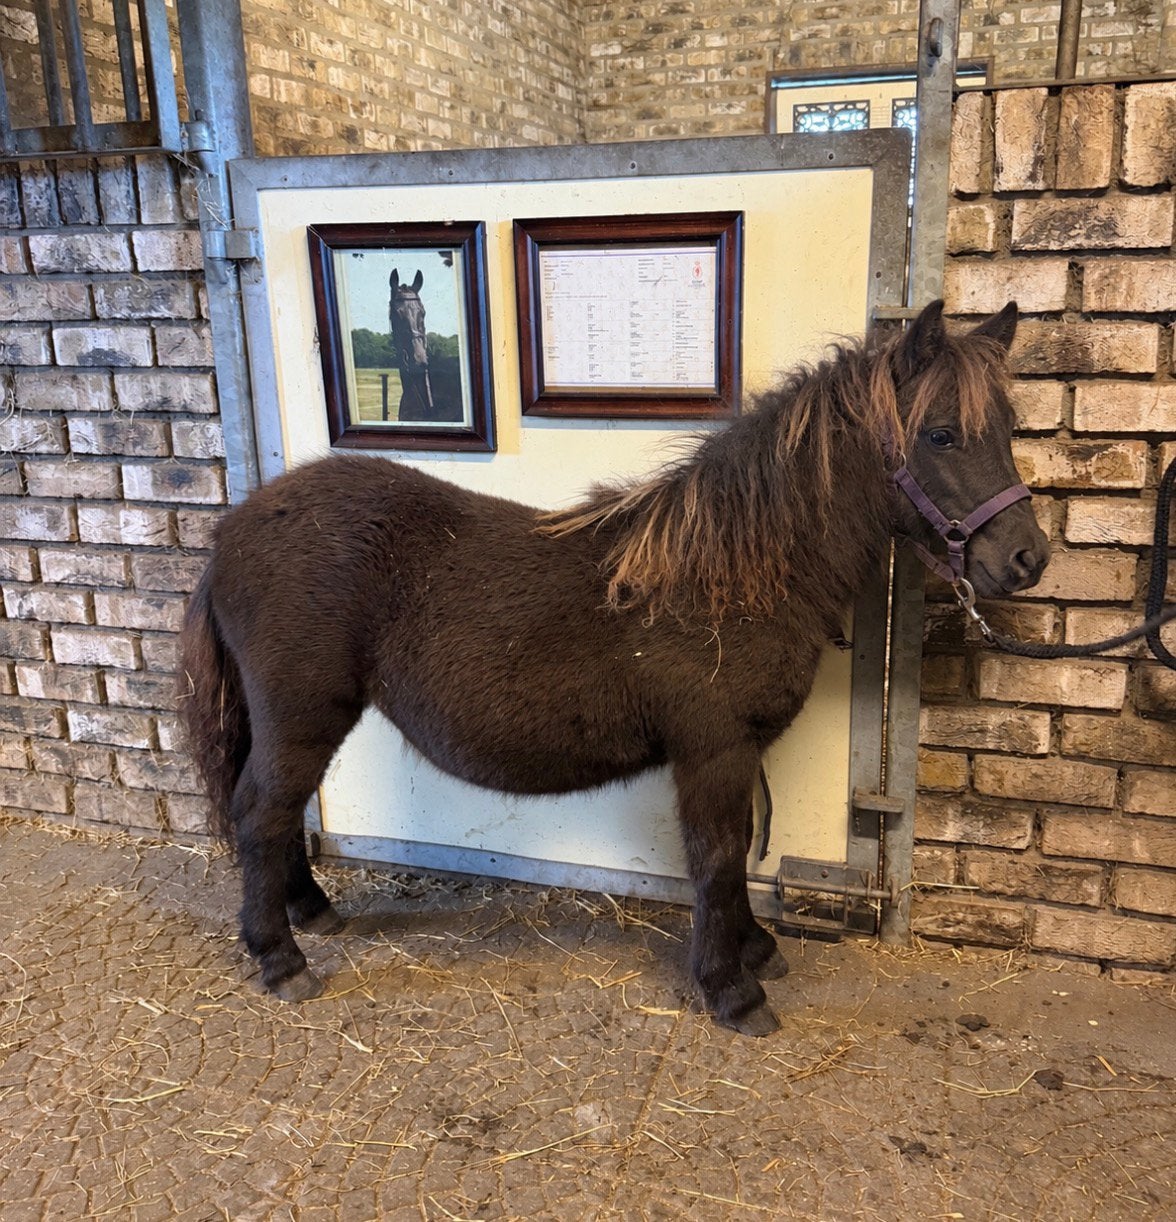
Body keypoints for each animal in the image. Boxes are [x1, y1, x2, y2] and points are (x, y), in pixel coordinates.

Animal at [178, 300, 1049, 1036]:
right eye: (941, 434)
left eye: (1007, 426)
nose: (1027, 558)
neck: (729, 574)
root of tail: (233, 532)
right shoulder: (713, 750)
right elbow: (718, 858)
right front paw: (732, 989)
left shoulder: (735, 754)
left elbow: (736, 855)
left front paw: (754, 950)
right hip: (303, 714)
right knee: (260, 811)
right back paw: (280, 957)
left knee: (276, 812)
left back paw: (309, 911)